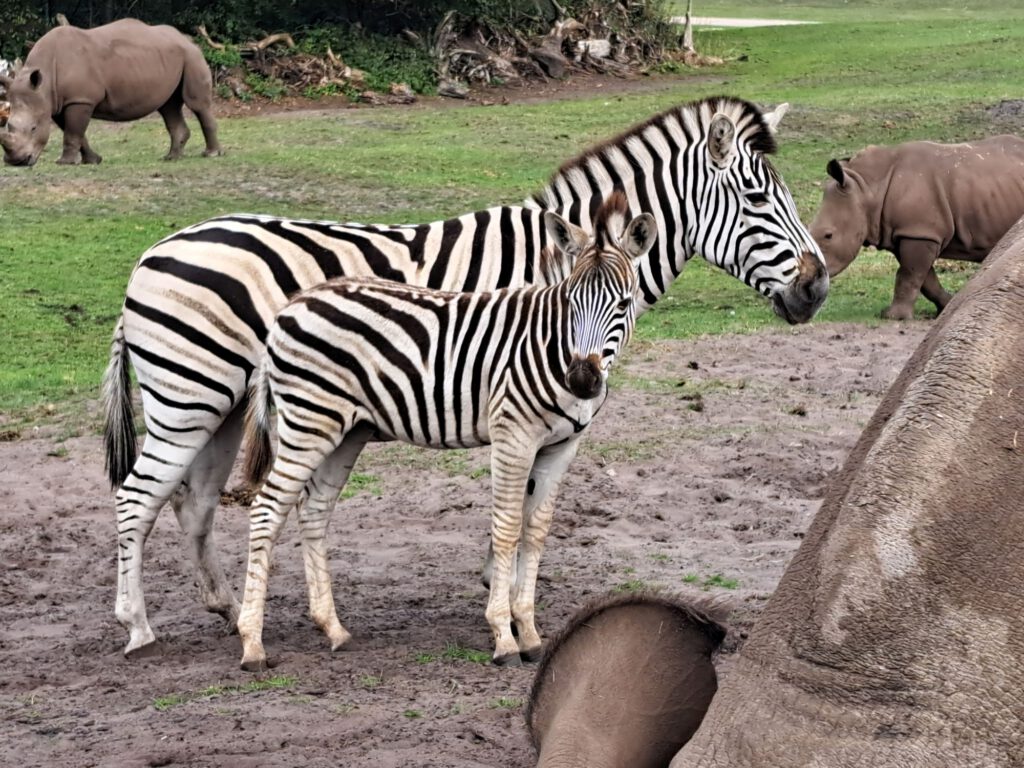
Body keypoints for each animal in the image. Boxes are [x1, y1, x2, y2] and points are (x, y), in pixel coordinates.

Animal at [236, 192, 657, 669]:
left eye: (623, 303)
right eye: (571, 301)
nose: (582, 380)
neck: (549, 344)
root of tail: (291, 305)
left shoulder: (561, 447)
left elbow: (535, 532)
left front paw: (530, 634)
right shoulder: (513, 435)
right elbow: (507, 527)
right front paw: (504, 636)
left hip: (344, 431)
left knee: (314, 509)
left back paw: (333, 629)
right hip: (309, 420)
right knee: (267, 509)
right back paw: (252, 644)